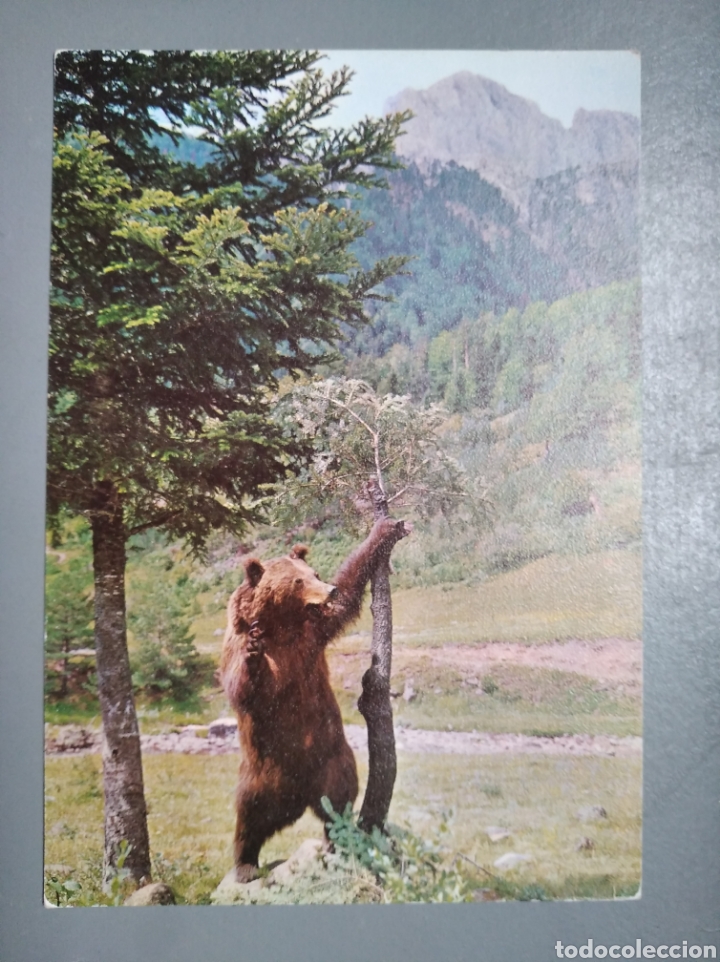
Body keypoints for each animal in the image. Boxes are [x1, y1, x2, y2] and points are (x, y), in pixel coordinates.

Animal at [219, 516, 411, 882]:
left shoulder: (313, 633)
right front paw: (253, 654)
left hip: (332, 760)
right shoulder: (239, 640)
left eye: (315, 573)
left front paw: (385, 530)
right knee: (248, 817)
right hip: (260, 775)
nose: (327, 589)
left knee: (338, 801)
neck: (283, 628)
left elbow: (349, 592)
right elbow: (239, 686)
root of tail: (297, 797)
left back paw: (336, 838)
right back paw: (245, 865)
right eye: (297, 580)